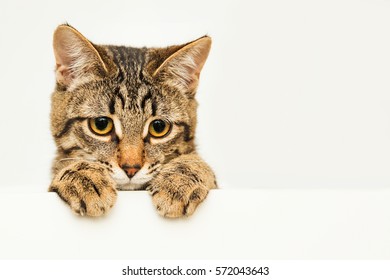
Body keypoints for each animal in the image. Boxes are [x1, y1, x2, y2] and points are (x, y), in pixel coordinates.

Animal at [48, 24, 216, 218]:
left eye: (159, 127)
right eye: (101, 124)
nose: (131, 169)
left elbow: (195, 162)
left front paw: (179, 180)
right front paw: (84, 177)